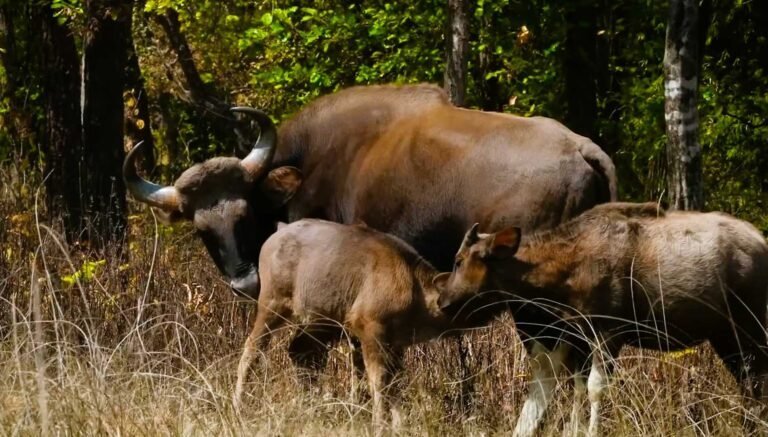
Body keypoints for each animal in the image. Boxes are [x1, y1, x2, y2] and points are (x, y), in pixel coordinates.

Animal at [434, 202, 768, 436]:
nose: (442, 300)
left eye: (459, 260)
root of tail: (762, 243)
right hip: (726, 336)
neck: (562, 278)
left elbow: (596, 389)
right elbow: (579, 389)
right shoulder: (581, 337)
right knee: (749, 383)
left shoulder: (609, 332)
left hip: (751, 327)